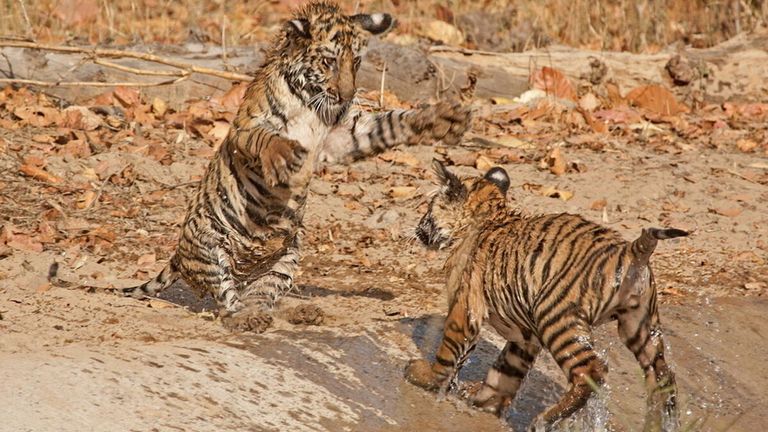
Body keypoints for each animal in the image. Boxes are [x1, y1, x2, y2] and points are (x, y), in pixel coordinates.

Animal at [121, 1, 472, 333]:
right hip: (211, 246)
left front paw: (441, 119)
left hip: (285, 259)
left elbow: (390, 124)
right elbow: (267, 139)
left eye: (356, 62)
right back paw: (245, 319)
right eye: (329, 62)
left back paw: (297, 313)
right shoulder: (244, 128)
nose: (347, 96)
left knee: (260, 297)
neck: (310, 102)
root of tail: (179, 255)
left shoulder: (344, 135)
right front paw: (283, 158)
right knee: (228, 302)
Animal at [404, 160, 687, 432]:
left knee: (591, 371)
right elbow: (504, 372)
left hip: (555, 314)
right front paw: (483, 399)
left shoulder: (465, 306)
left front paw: (424, 375)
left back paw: (543, 420)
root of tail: (629, 250)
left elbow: (448, 353)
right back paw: (659, 424)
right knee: (663, 376)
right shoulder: (525, 336)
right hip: (640, 324)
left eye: (428, 208)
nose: (418, 229)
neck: (489, 215)